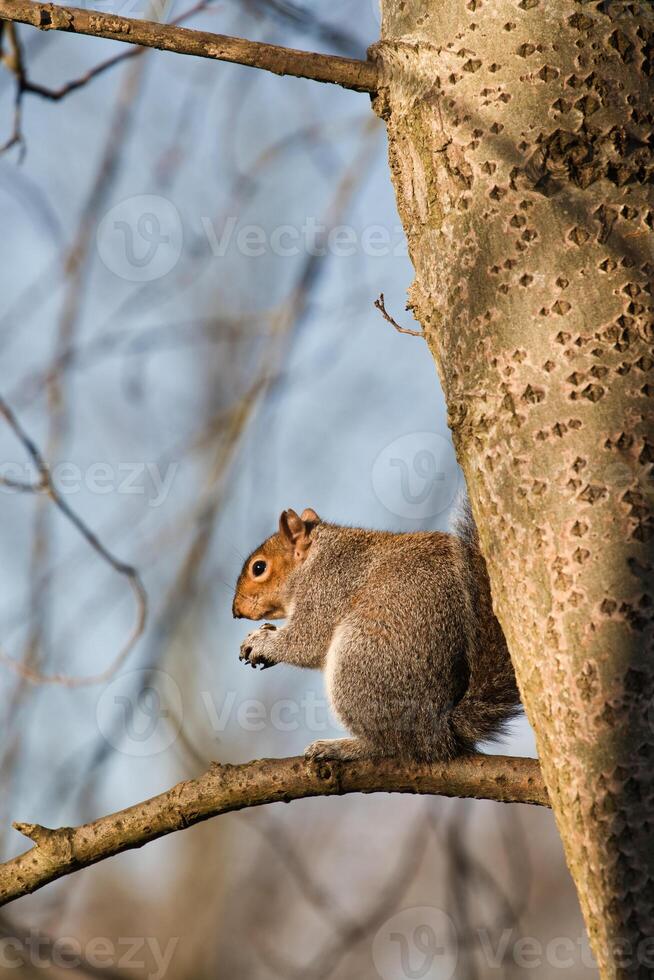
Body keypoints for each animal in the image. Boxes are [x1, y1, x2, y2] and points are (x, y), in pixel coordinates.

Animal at [234, 502, 524, 760]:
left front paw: (260, 642)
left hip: (359, 661)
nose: (235, 610)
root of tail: (438, 729)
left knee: (395, 746)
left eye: (259, 567)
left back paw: (344, 748)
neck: (315, 557)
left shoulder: (326, 587)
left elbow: (306, 641)